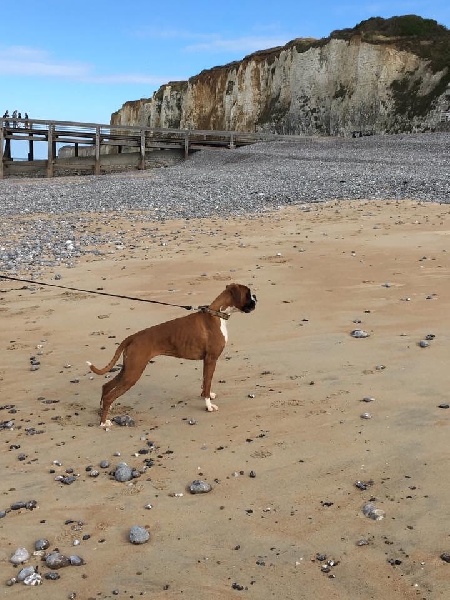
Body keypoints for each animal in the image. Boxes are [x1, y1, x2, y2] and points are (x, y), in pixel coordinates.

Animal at [87, 283, 257, 428]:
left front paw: (205, 395)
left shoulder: (206, 361)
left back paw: (104, 411)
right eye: (248, 294)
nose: (256, 297)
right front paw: (208, 406)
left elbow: (205, 382)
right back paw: (103, 423)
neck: (217, 314)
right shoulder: (211, 359)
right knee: (110, 395)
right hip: (133, 372)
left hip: (128, 369)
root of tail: (133, 337)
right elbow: (207, 383)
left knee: (106, 386)